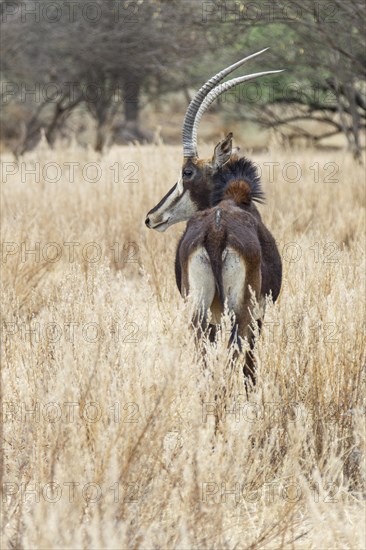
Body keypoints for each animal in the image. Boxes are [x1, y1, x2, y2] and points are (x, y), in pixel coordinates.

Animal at [146, 50, 284, 388]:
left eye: (187, 172)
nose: (152, 217)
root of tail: (217, 231)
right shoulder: (259, 313)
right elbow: (250, 364)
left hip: (200, 308)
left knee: (202, 354)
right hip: (239, 309)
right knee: (237, 354)